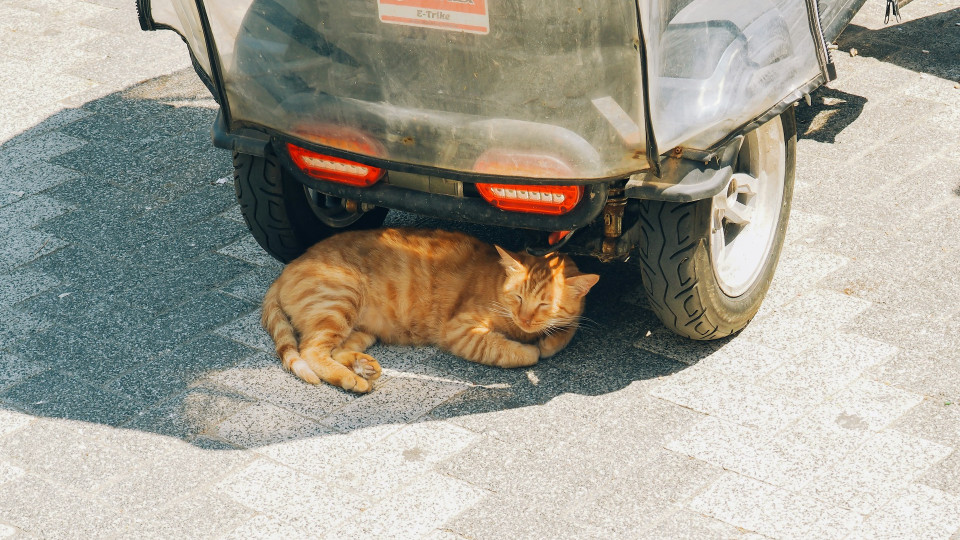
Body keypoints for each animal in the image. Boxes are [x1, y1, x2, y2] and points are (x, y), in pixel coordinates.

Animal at [258, 227, 596, 392]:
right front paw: (531, 349)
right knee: (310, 351)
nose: (525, 318)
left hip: (362, 328)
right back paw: (352, 379)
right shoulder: (459, 330)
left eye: (543, 304)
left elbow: (569, 326)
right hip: (339, 301)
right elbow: (510, 351)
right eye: (517, 298)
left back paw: (363, 366)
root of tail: (289, 267)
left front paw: (550, 338)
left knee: (334, 349)